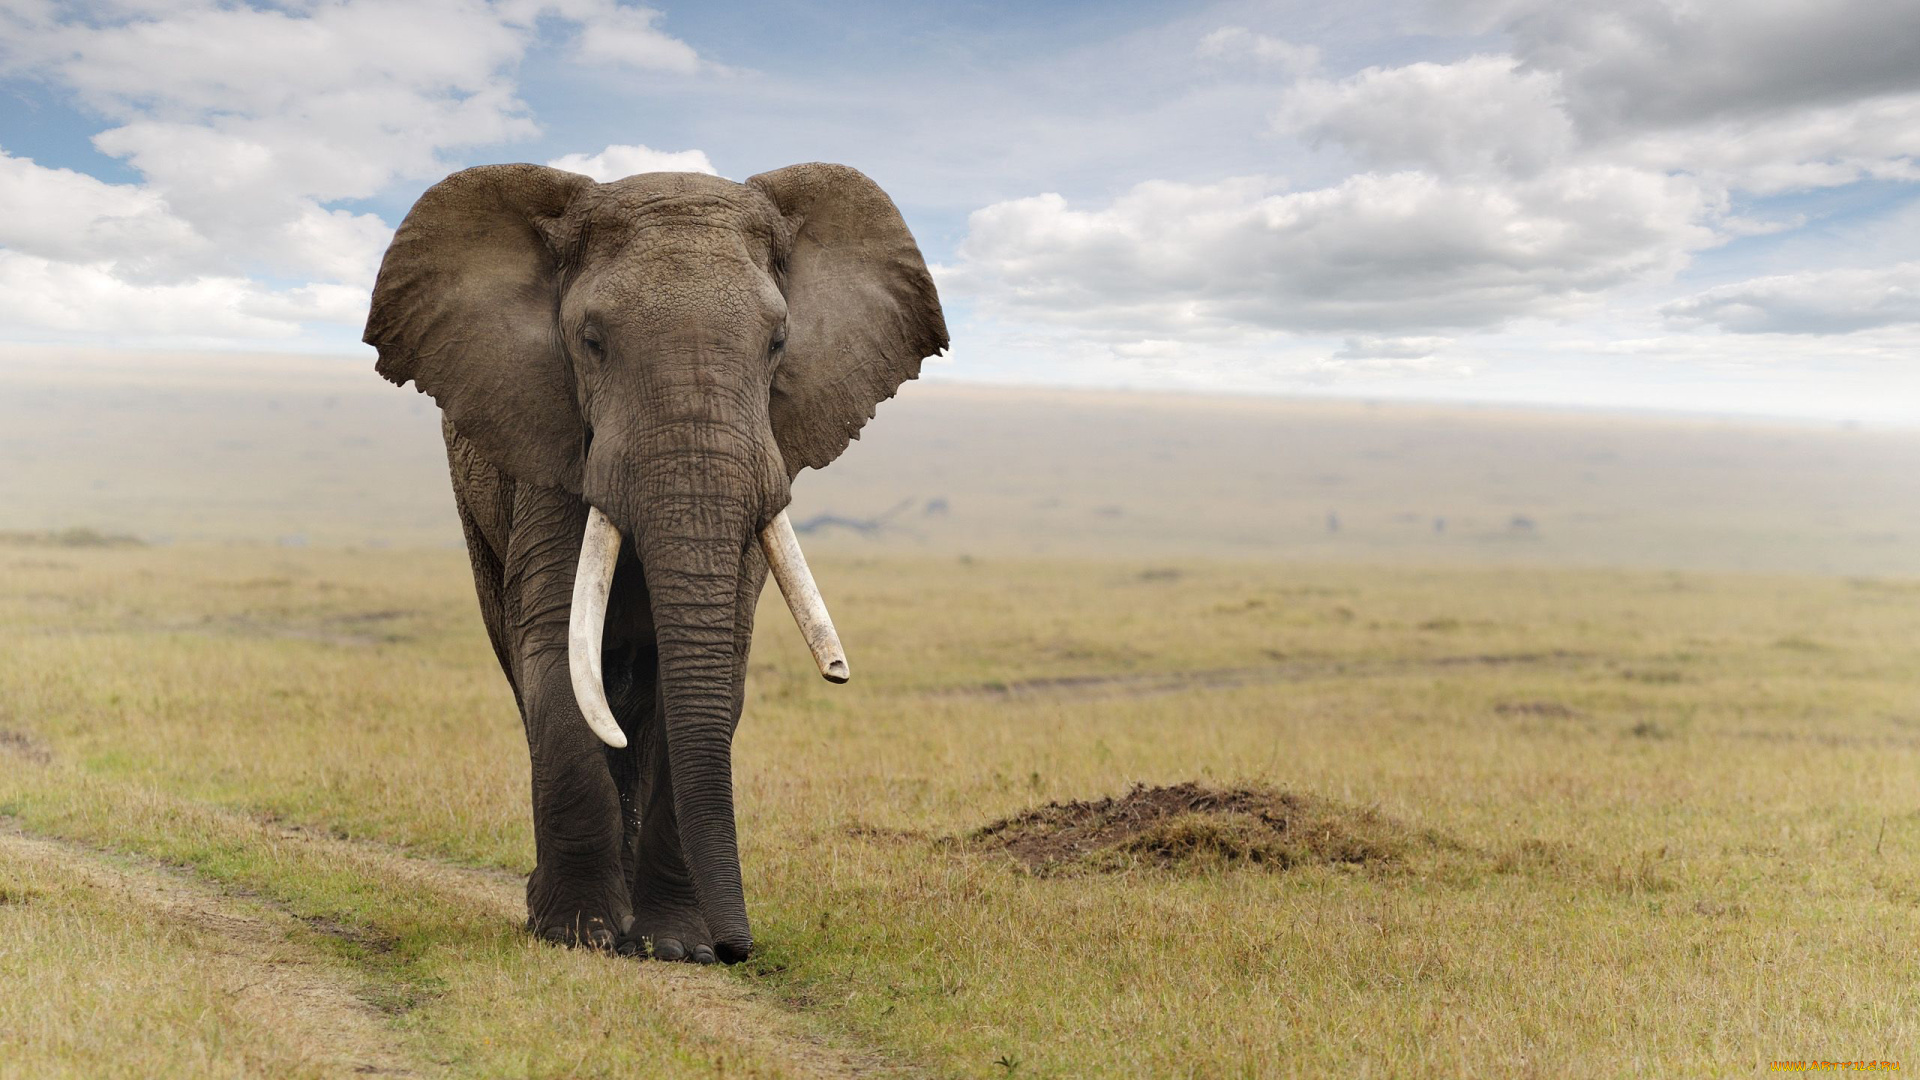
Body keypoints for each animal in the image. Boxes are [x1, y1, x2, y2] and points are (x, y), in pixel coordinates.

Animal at [363, 162, 947, 963]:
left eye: (779, 341)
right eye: (591, 341)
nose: (740, 950)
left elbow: (711, 669)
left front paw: (675, 947)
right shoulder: (551, 446)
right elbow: (557, 652)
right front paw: (577, 935)